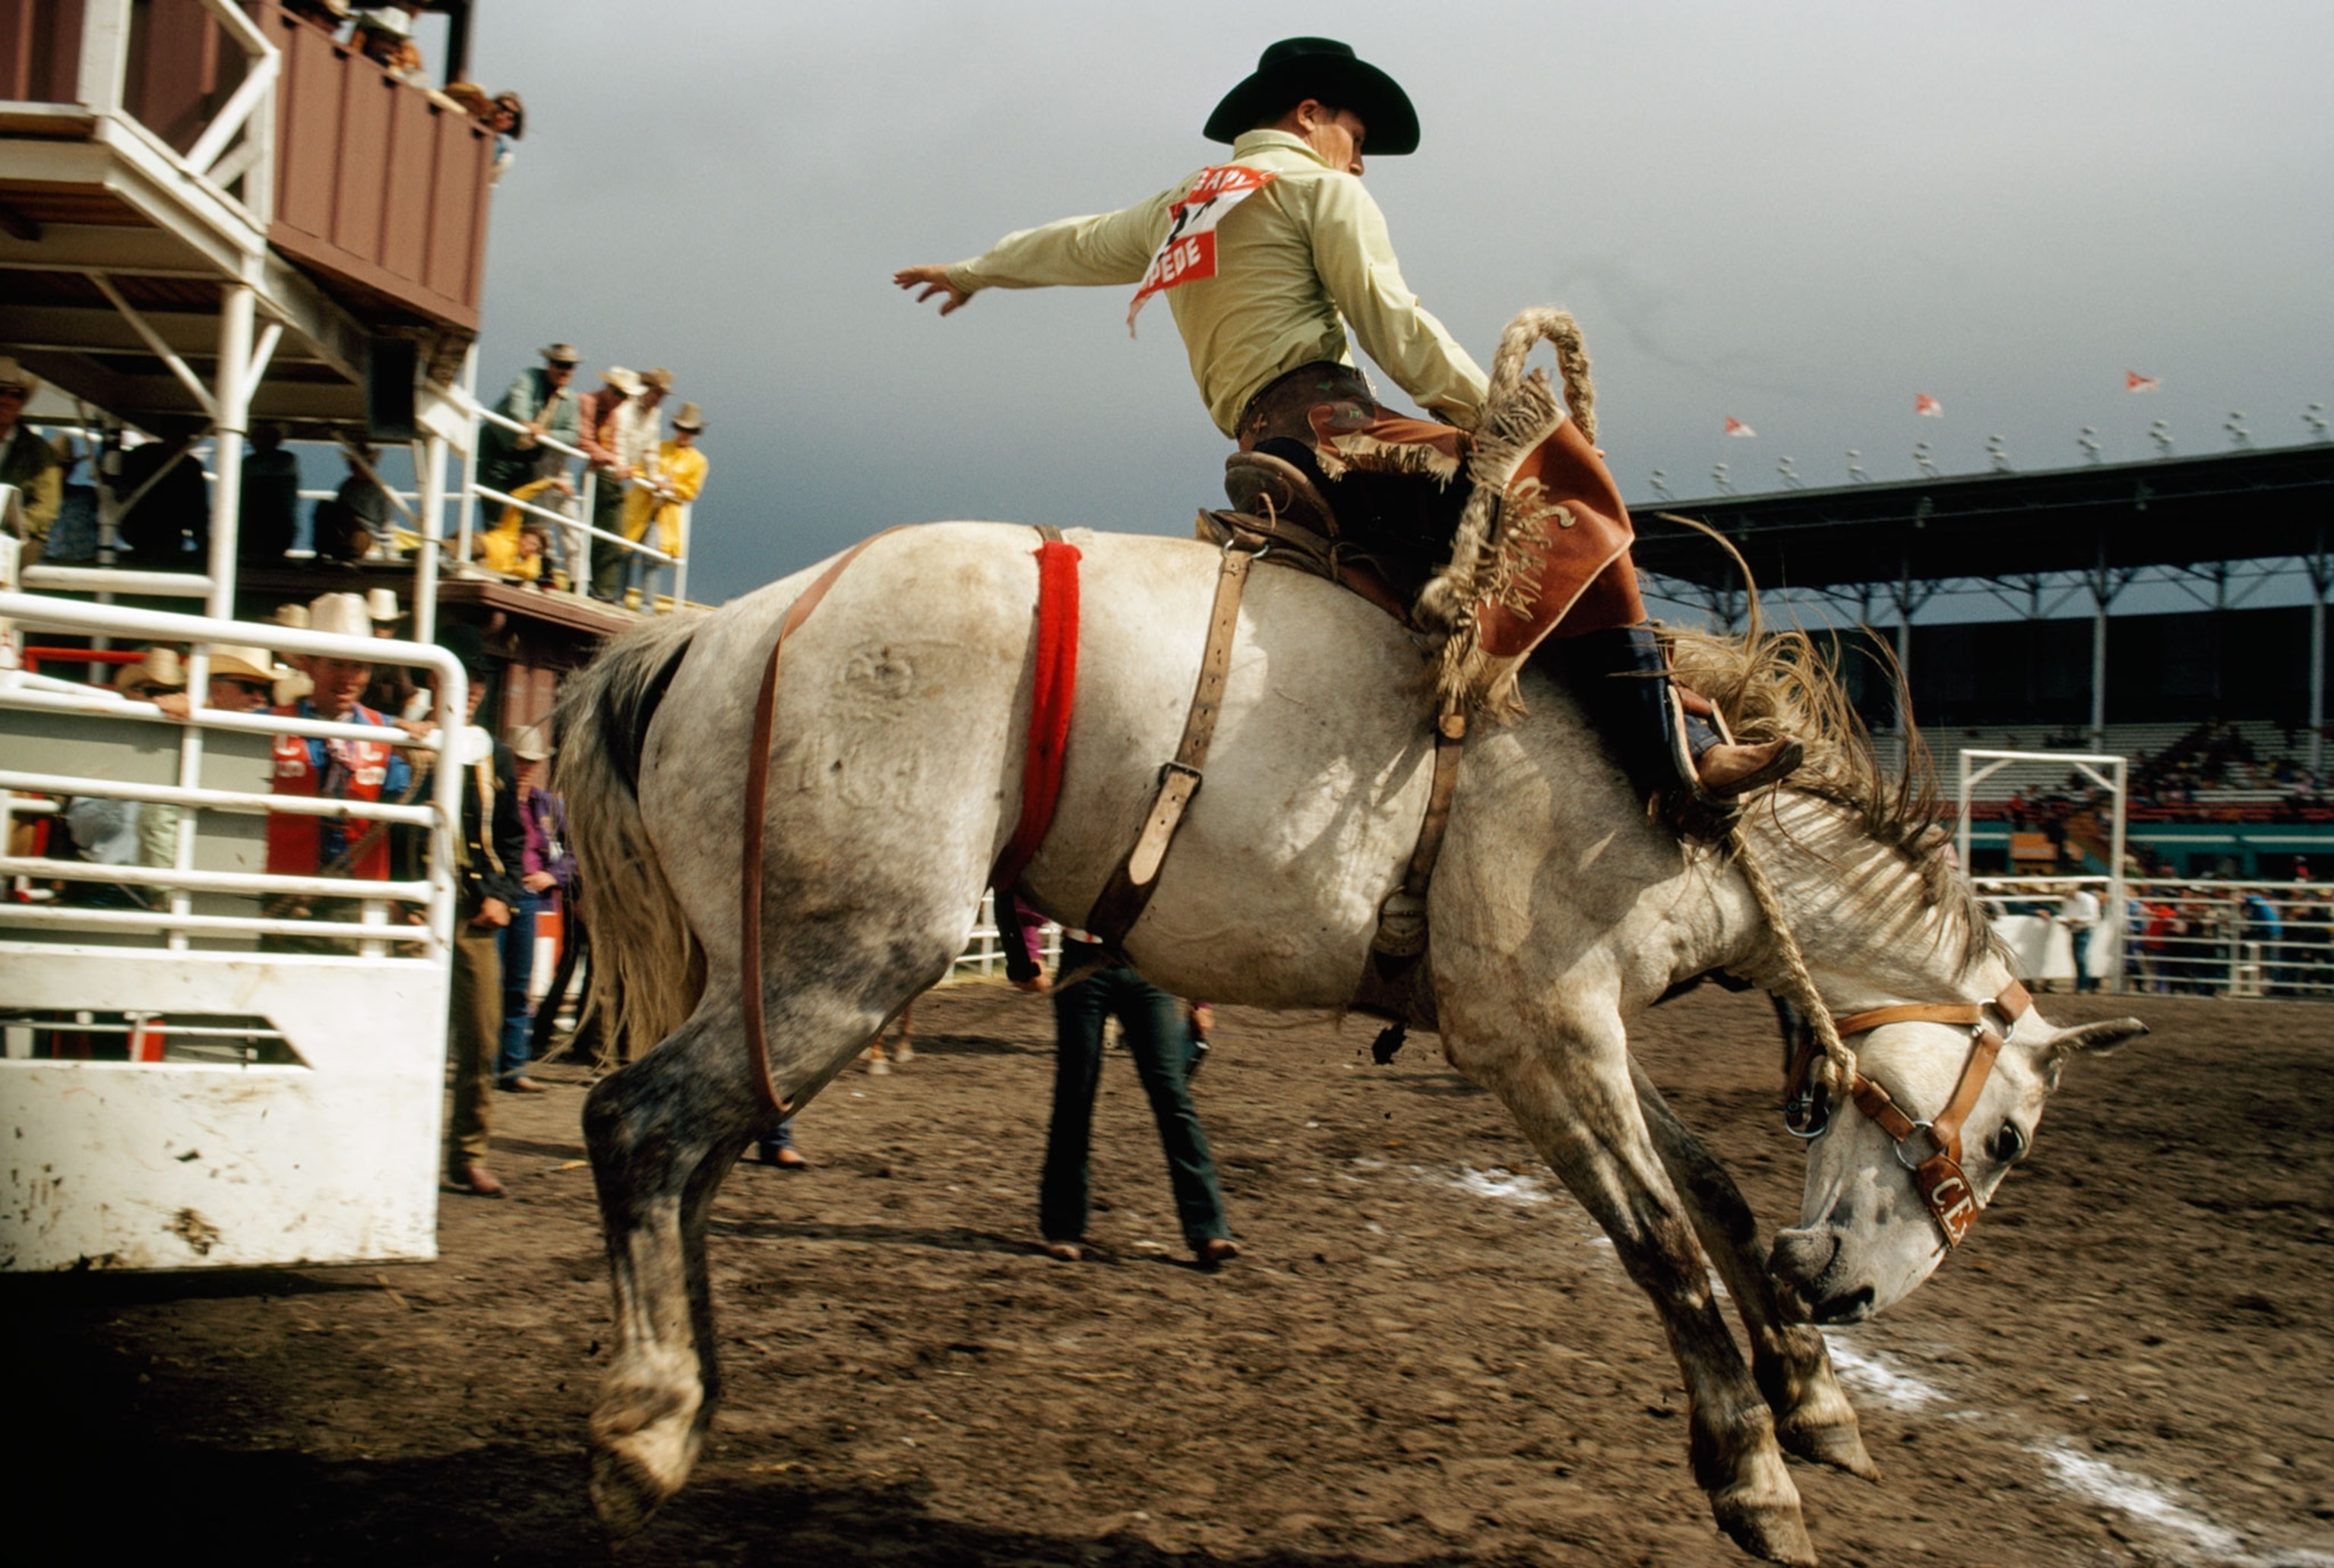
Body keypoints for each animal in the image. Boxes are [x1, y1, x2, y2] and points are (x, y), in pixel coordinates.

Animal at [556, 522, 2143, 1565]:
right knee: (640, 1123)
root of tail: (716, 631)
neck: (1679, 791)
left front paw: (1813, 1397)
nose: (1856, 1294)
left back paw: (686, 1394)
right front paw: (1753, 1467)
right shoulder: (1535, 1036)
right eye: (2007, 1135)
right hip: (848, 952)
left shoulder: (1588, 1028)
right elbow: (1664, 1241)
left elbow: (1714, 1191)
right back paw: (646, 1428)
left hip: (782, 974)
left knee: (692, 1153)